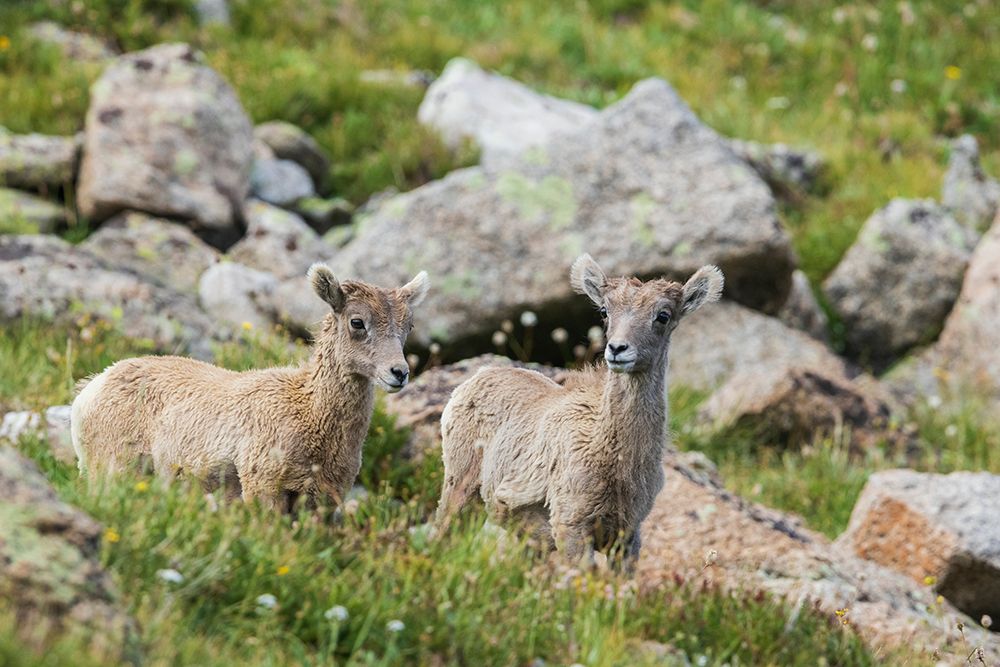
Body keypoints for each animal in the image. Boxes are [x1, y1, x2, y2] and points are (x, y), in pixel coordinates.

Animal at [70, 263, 429, 511]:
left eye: (408, 326)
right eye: (357, 322)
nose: (399, 373)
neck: (309, 412)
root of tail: (90, 390)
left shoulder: (323, 500)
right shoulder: (263, 487)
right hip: (110, 470)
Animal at [434, 254, 723, 566]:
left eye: (663, 316)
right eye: (605, 312)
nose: (617, 349)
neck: (618, 464)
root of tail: (474, 379)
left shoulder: (627, 538)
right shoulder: (571, 527)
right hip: (459, 487)